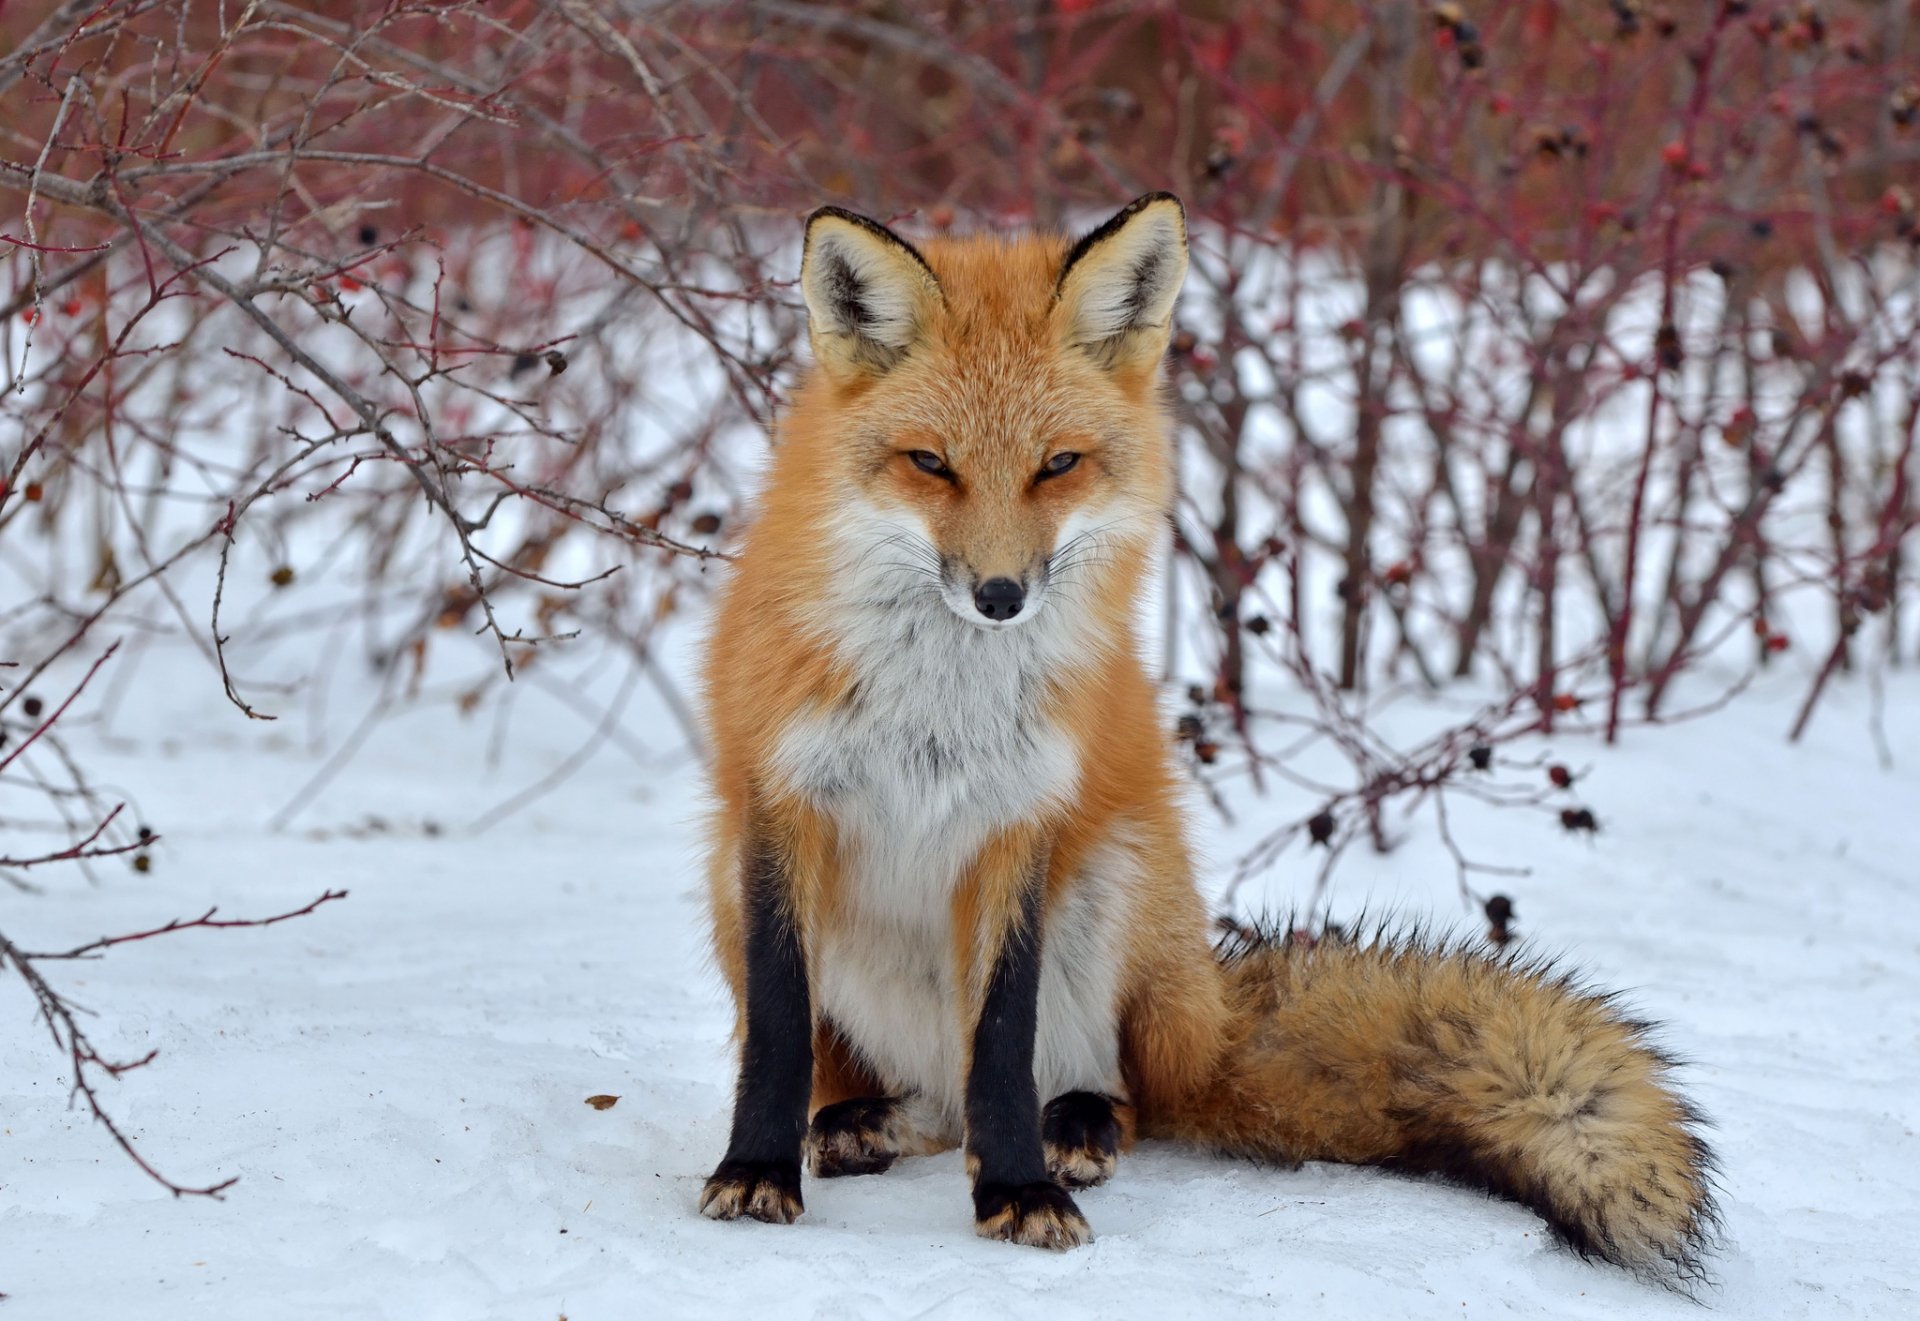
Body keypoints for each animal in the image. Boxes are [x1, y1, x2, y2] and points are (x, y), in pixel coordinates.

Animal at [695, 193, 1716, 1278]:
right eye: (930, 462)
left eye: (1058, 464)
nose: (1001, 596)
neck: (937, 704)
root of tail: (1213, 1020)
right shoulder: (781, 805)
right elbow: (778, 1032)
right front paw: (755, 1172)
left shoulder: (1020, 823)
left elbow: (1004, 1037)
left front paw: (1017, 1190)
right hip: (733, 883)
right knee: (924, 1101)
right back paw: (863, 1120)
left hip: (1118, 878)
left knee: (1101, 1091)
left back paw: (1074, 1129)